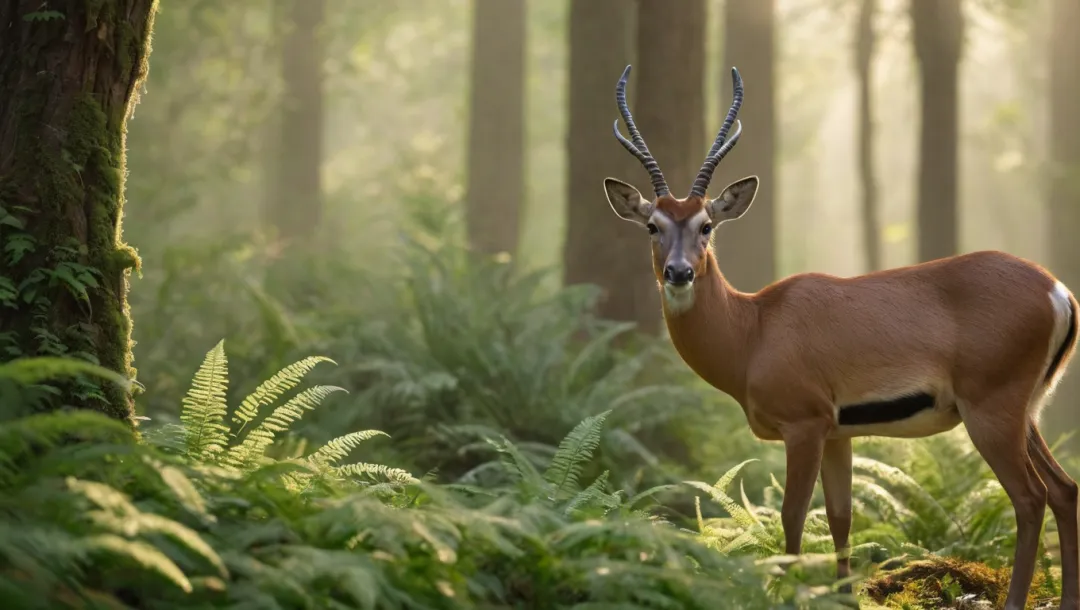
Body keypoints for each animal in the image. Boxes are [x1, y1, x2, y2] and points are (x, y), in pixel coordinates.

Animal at [604, 64, 1080, 604]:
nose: (679, 272)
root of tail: (1057, 291)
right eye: (653, 226)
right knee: (1065, 490)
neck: (754, 329)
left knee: (1030, 497)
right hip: (1027, 412)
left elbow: (792, 515)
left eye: (707, 224)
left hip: (992, 413)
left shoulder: (804, 426)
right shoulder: (838, 432)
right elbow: (840, 517)